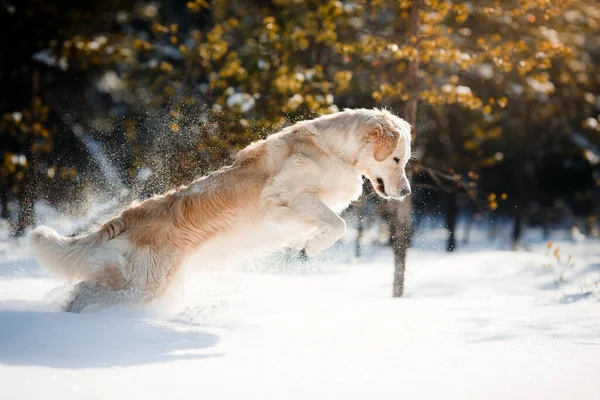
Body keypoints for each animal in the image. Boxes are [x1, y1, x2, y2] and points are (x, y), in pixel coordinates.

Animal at [28, 108, 412, 310]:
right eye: (396, 159)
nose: (407, 191)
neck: (336, 151)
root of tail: (125, 217)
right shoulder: (281, 197)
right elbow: (337, 224)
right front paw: (311, 245)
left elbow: (333, 223)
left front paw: (306, 242)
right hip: (141, 285)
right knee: (84, 293)